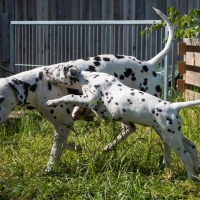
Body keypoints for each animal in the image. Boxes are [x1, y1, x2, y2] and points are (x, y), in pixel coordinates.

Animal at [45, 70, 200, 178]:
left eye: (57, 69)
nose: (46, 72)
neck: (92, 77)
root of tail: (174, 106)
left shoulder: (91, 98)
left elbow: (70, 96)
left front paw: (52, 102)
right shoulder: (91, 102)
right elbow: (78, 102)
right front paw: (75, 111)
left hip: (172, 138)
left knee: (186, 156)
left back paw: (190, 176)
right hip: (172, 135)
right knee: (192, 147)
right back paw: (197, 169)